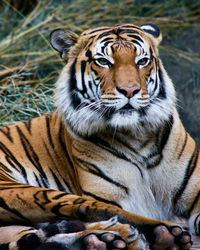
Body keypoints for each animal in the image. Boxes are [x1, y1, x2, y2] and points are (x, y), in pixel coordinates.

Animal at [0, 22, 195, 249]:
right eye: (103, 61)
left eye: (142, 61)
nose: (130, 90)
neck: (138, 135)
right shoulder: (109, 194)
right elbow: (105, 207)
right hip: (27, 191)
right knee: (88, 209)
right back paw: (158, 234)